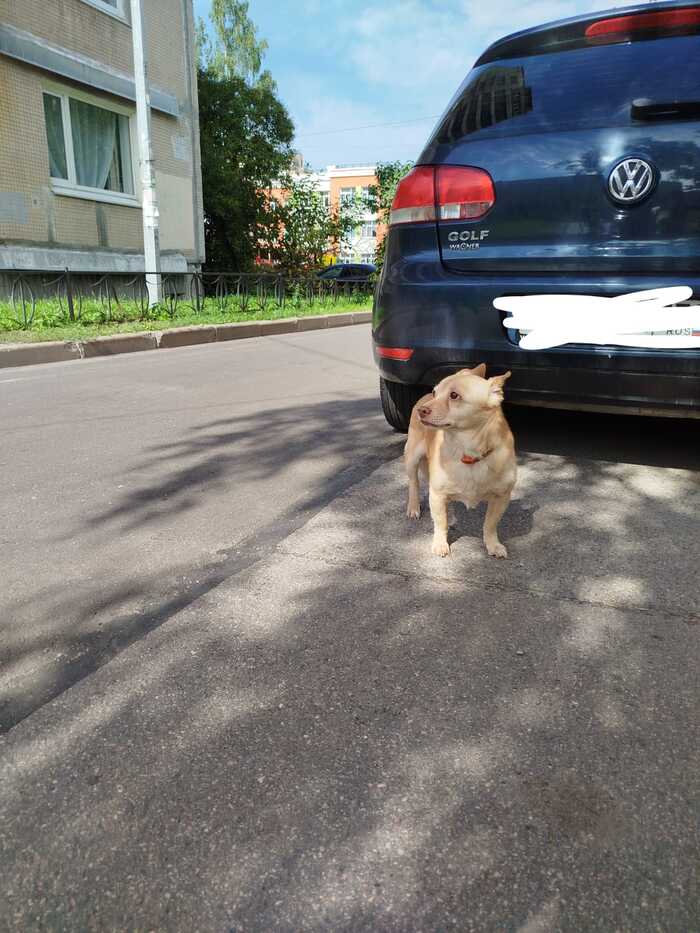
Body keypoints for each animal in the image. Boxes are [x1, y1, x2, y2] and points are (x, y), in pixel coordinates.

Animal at [404, 362, 516, 552]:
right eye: (435, 393)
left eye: (454, 396)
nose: (422, 410)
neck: (467, 452)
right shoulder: (437, 495)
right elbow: (440, 523)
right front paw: (440, 543)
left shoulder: (502, 498)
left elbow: (490, 524)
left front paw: (493, 544)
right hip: (411, 458)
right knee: (414, 483)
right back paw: (413, 507)